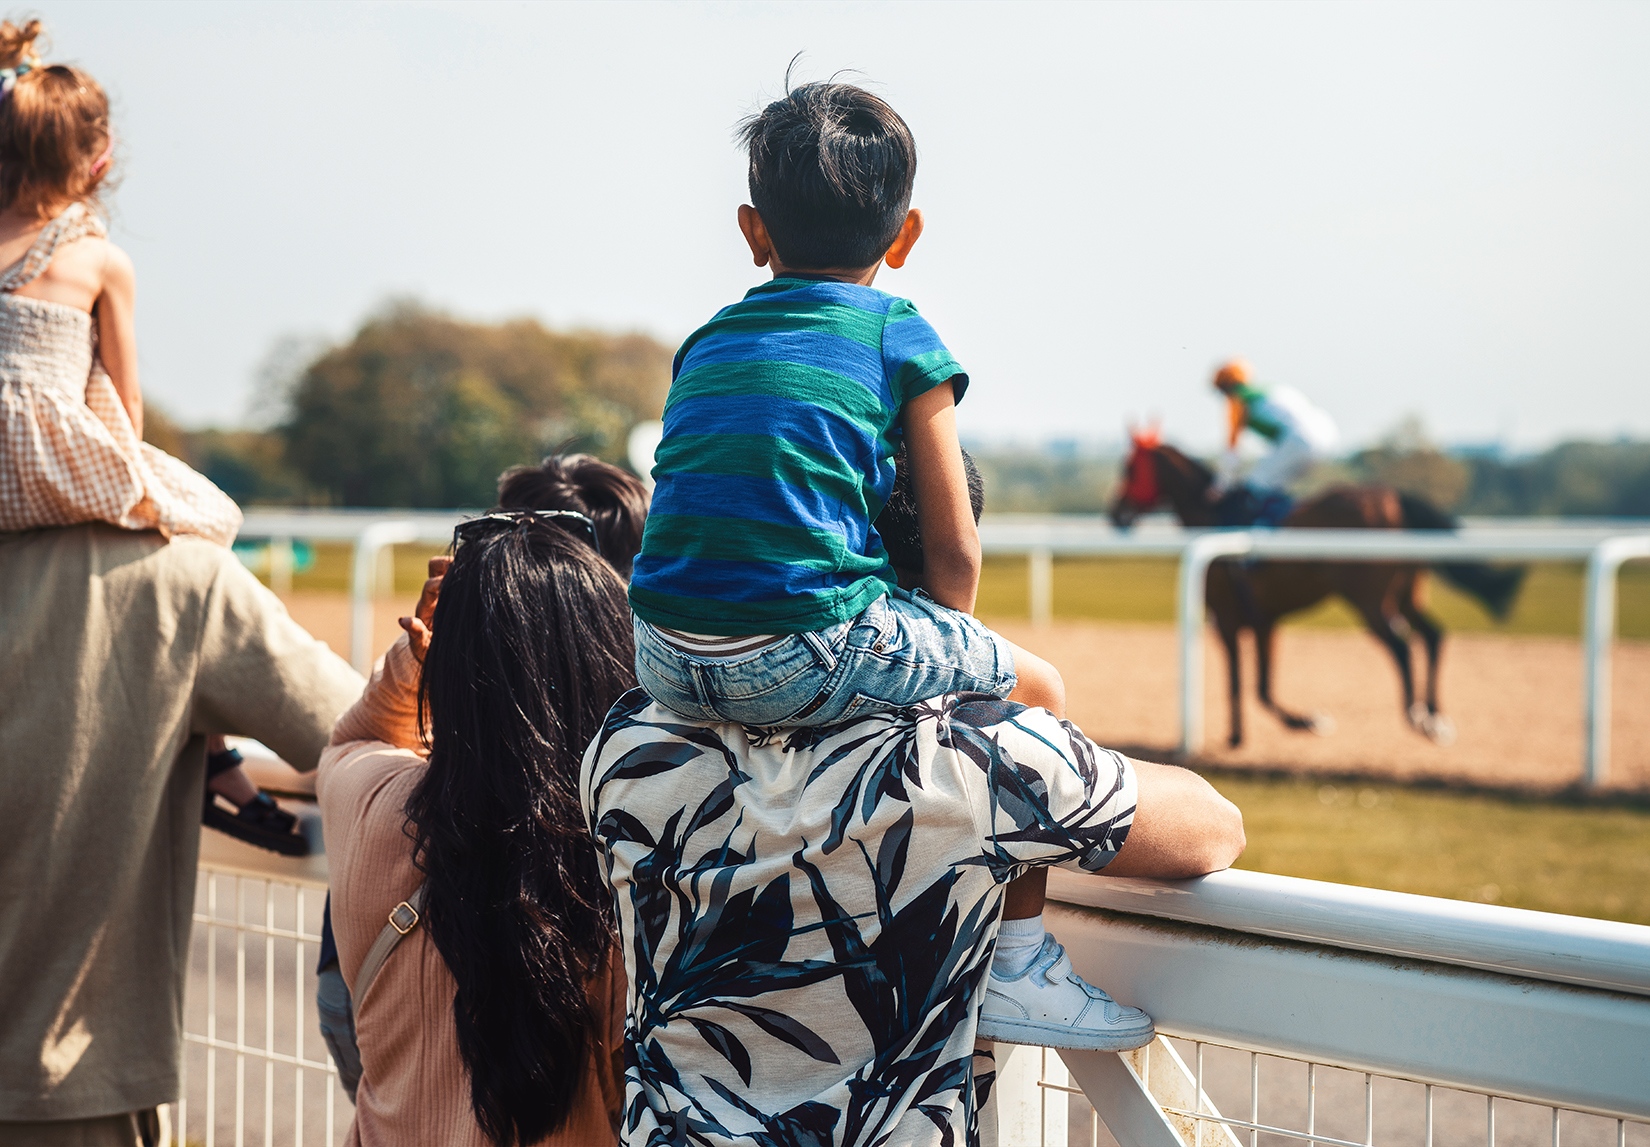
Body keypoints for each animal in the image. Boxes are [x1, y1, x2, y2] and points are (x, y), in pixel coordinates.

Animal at [1108, 435, 1518, 749]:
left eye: (1129, 468)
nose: (1115, 513)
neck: (1213, 514)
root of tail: (1393, 498)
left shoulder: (1228, 617)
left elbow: (1243, 683)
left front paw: (1247, 735)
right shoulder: (1264, 619)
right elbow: (1261, 686)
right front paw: (1296, 722)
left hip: (1369, 599)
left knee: (1401, 644)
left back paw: (1417, 716)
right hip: (1408, 593)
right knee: (1433, 635)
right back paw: (1436, 718)